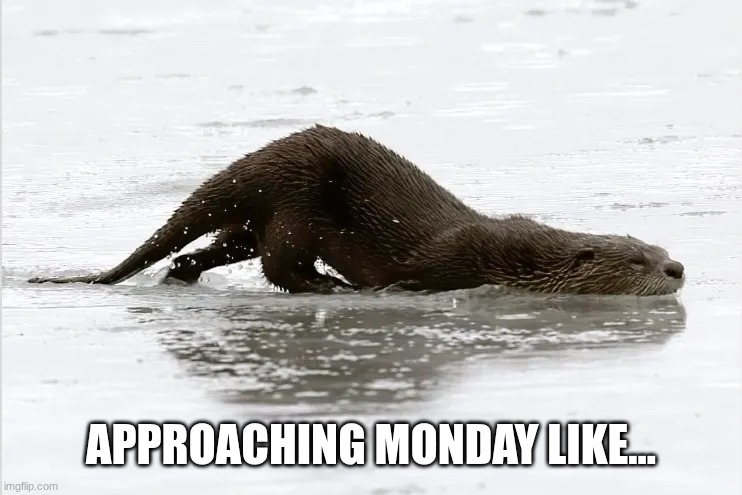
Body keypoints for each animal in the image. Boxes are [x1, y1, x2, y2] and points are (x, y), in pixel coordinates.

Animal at [28, 125, 685, 296]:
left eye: (660, 248)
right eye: (637, 261)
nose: (678, 269)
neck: (518, 256)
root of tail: (258, 163)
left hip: (259, 218)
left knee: (215, 248)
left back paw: (182, 274)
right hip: (297, 208)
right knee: (279, 268)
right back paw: (333, 287)